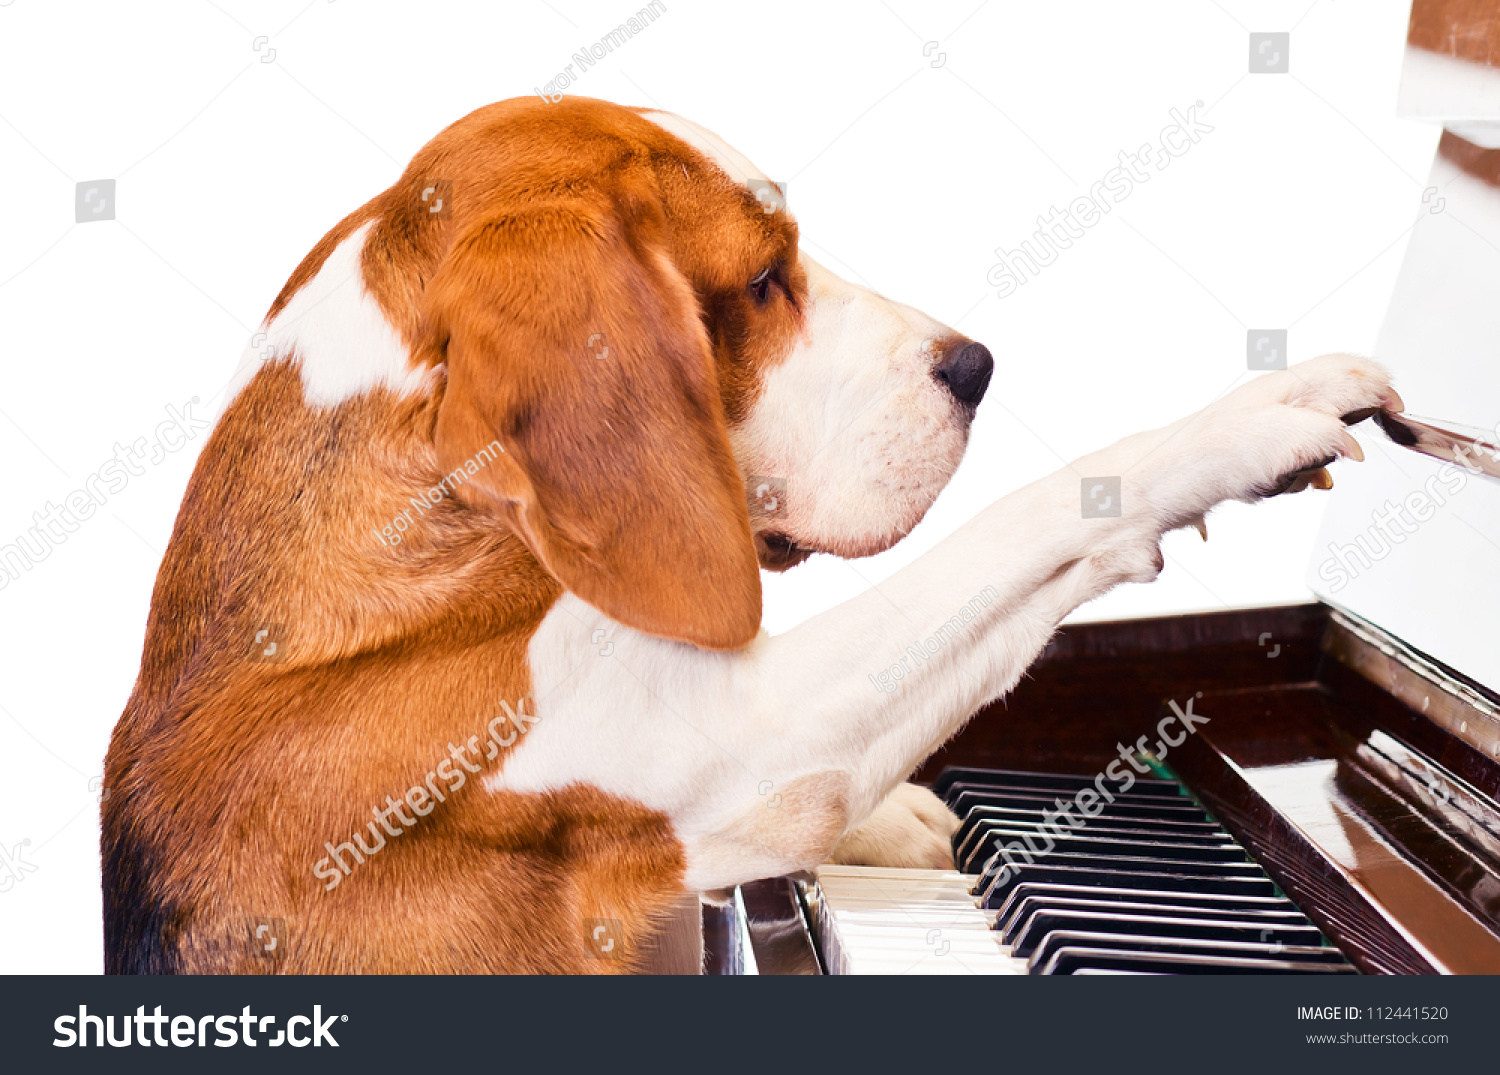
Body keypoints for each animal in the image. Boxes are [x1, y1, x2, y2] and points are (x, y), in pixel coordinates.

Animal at [102, 98, 1392, 971]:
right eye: (768, 280)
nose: (976, 367)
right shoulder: (749, 747)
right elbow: (1023, 524)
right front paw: (1240, 424)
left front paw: (904, 821)